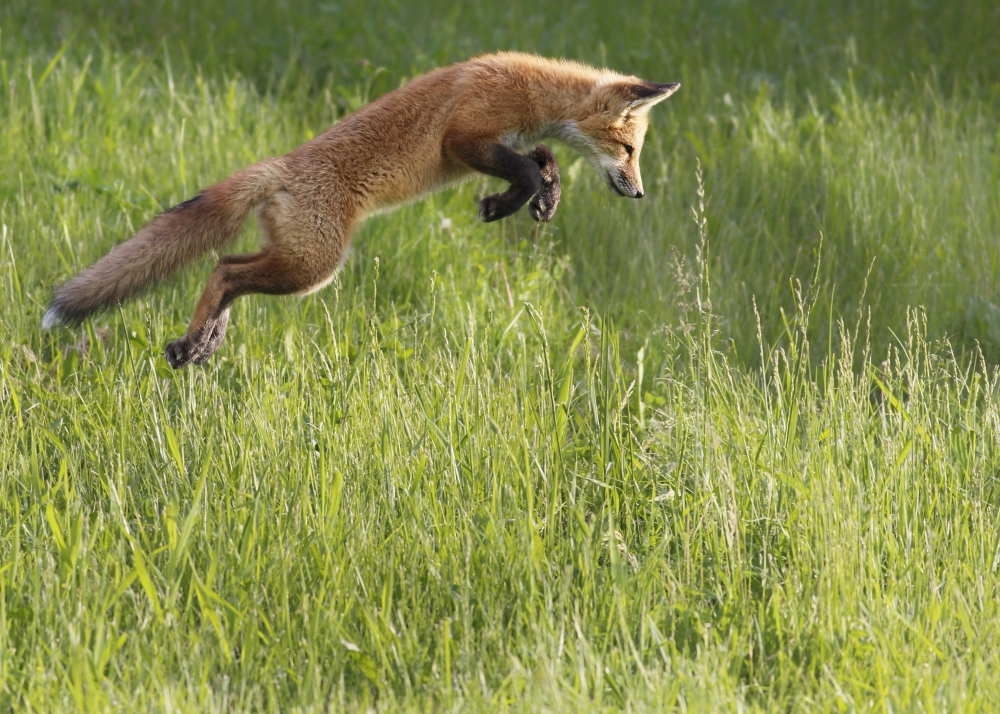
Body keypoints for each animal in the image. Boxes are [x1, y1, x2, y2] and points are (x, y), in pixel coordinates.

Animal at [43, 52, 679, 368]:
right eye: (630, 150)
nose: (640, 193)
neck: (532, 90)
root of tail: (278, 166)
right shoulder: (463, 138)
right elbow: (524, 167)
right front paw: (506, 203)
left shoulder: (500, 143)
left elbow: (542, 161)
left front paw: (542, 199)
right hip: (313, 268)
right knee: (224, 270)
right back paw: (197, 341)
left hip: (296, 258)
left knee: (228, 270)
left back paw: (202, 343)